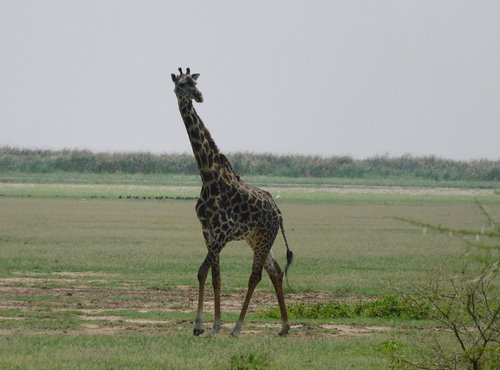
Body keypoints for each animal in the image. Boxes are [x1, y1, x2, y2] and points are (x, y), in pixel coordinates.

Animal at [171, 66, 292, 336]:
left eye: (195, 82)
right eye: (181, 83)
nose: (199, 96)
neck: (208, 176)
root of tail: (278, 211)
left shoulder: (224, 231)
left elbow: (202, 271)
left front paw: (200, 325)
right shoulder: (208, 231)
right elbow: (214, 275)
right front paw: (214, 324)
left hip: (264, 236)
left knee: (256, 276)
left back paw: (237, 327)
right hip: (255, 238)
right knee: (276, 271)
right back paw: (284, 327)